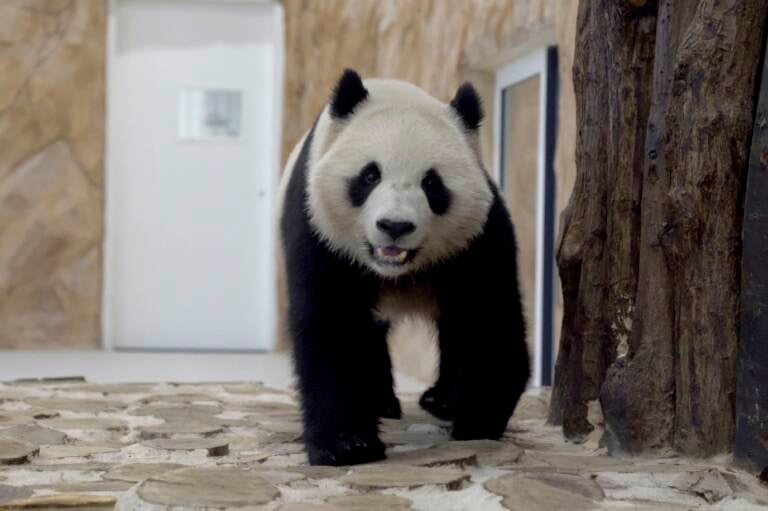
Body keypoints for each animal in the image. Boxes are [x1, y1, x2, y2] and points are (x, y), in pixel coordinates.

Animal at [280, 69, 528, 468]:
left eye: (432, 183)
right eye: (369, 176)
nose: (395, 226)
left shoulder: (478, 240)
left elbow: (489, 321)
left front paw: (476, 421)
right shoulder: (320, 230)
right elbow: (333, 326)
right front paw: (347, 444)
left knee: (453, 327)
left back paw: (439, 400)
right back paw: (383, 402)